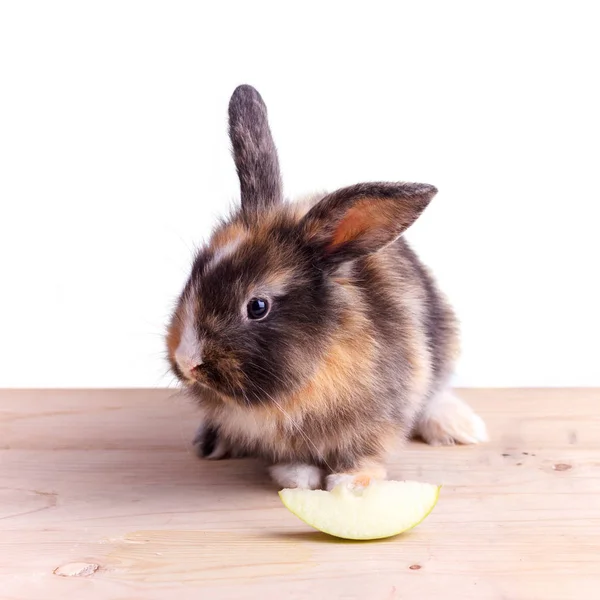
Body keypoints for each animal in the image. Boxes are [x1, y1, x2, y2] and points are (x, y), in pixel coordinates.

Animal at [164, 85, 488, 492]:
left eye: (257, 306)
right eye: (194, 273)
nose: (186, 361)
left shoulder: (382, 415)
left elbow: (365, 452)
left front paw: (349, 483)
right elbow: (292, 457)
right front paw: (296, 476)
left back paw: (460, 427)